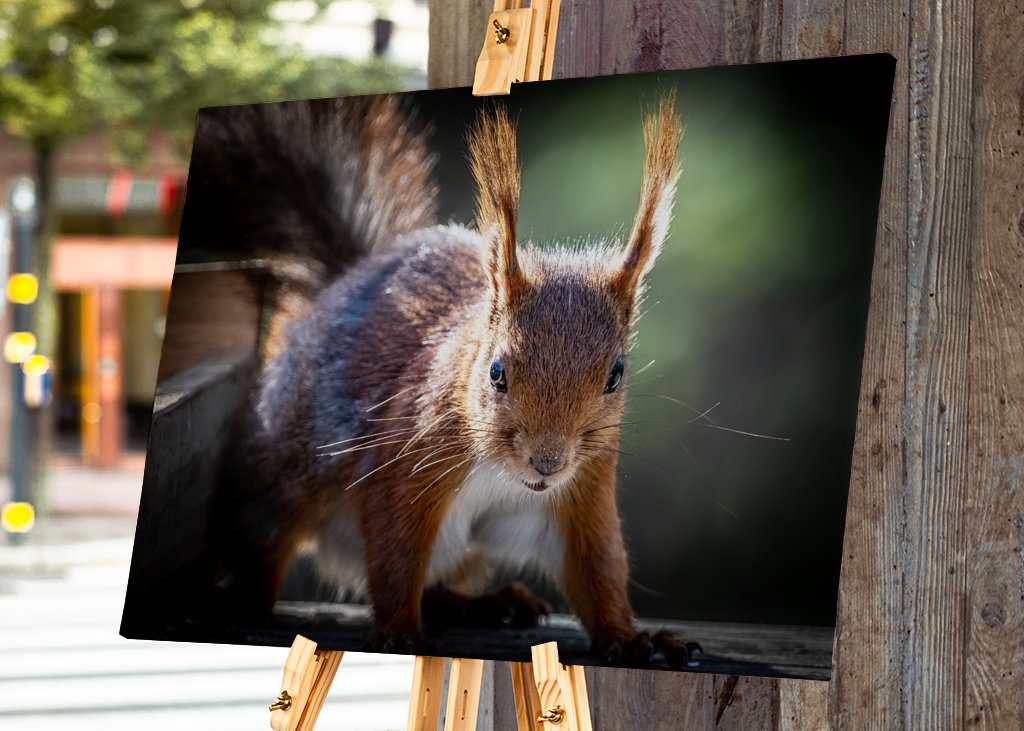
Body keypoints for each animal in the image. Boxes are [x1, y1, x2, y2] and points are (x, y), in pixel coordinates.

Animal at [182, 91, 697, 668]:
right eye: (496, 371)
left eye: (615, 375)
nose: (547, 463)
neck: (503, 473)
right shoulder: (406, 461)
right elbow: (395, 554)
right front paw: (398, 633)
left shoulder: (583, 489)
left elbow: (597, 571)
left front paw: (632, 638)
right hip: (274, 482)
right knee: (262, 552)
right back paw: (242, 601)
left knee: (440, 585)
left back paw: (485, 602)